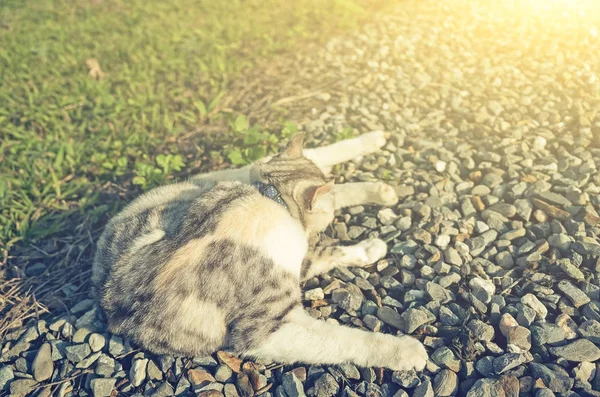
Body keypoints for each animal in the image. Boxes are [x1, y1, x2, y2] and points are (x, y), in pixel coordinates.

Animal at [92, 131, 426, 370]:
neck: (269, 199)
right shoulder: (268, 329)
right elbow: (343, 337)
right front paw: (405, 351)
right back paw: (378, 185)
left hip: (218, 179)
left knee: (311, 157)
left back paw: (374, 149)